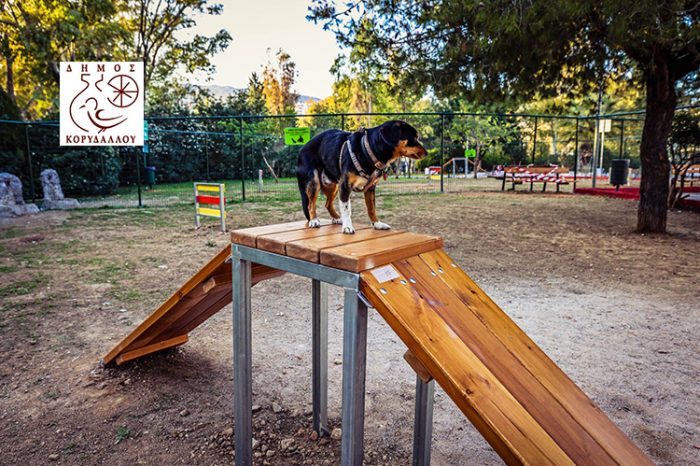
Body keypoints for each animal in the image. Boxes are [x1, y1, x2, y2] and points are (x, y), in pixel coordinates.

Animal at [296, 121, 426, 235]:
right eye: (414, 138)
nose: (427, 153)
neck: (368, 150)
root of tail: (301, 150)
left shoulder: (370, 188)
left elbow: (371, 208)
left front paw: (377, 224)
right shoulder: (345, 186)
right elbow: (346, 209)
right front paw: (347, 227)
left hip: (333, 186)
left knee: (328, 204)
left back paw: (337, 218)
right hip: (314, 182)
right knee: (310, 205)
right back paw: (314, 220)